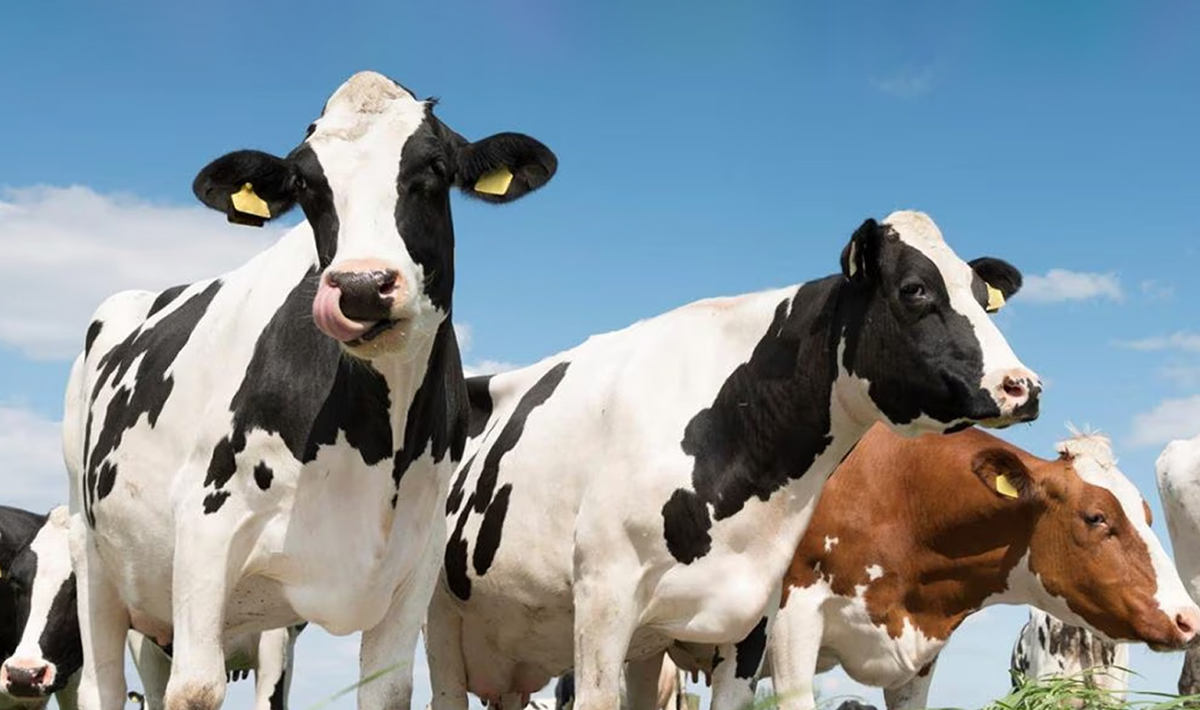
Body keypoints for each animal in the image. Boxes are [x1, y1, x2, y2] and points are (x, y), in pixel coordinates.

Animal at [63, 70, 557, 710]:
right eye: (305, 183)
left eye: (433, 168)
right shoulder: (204, 529)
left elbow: (386, 691)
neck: (374, 449)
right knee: (102, 680)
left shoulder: (414, 565)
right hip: (92, 551)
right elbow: (195, 689)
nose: (362, 286)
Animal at [425, 210, 1042, 710]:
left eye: (982, 294)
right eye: (915, 289)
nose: (1024, 386)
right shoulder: (603, 596)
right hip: (439, 619)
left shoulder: (752, 617)